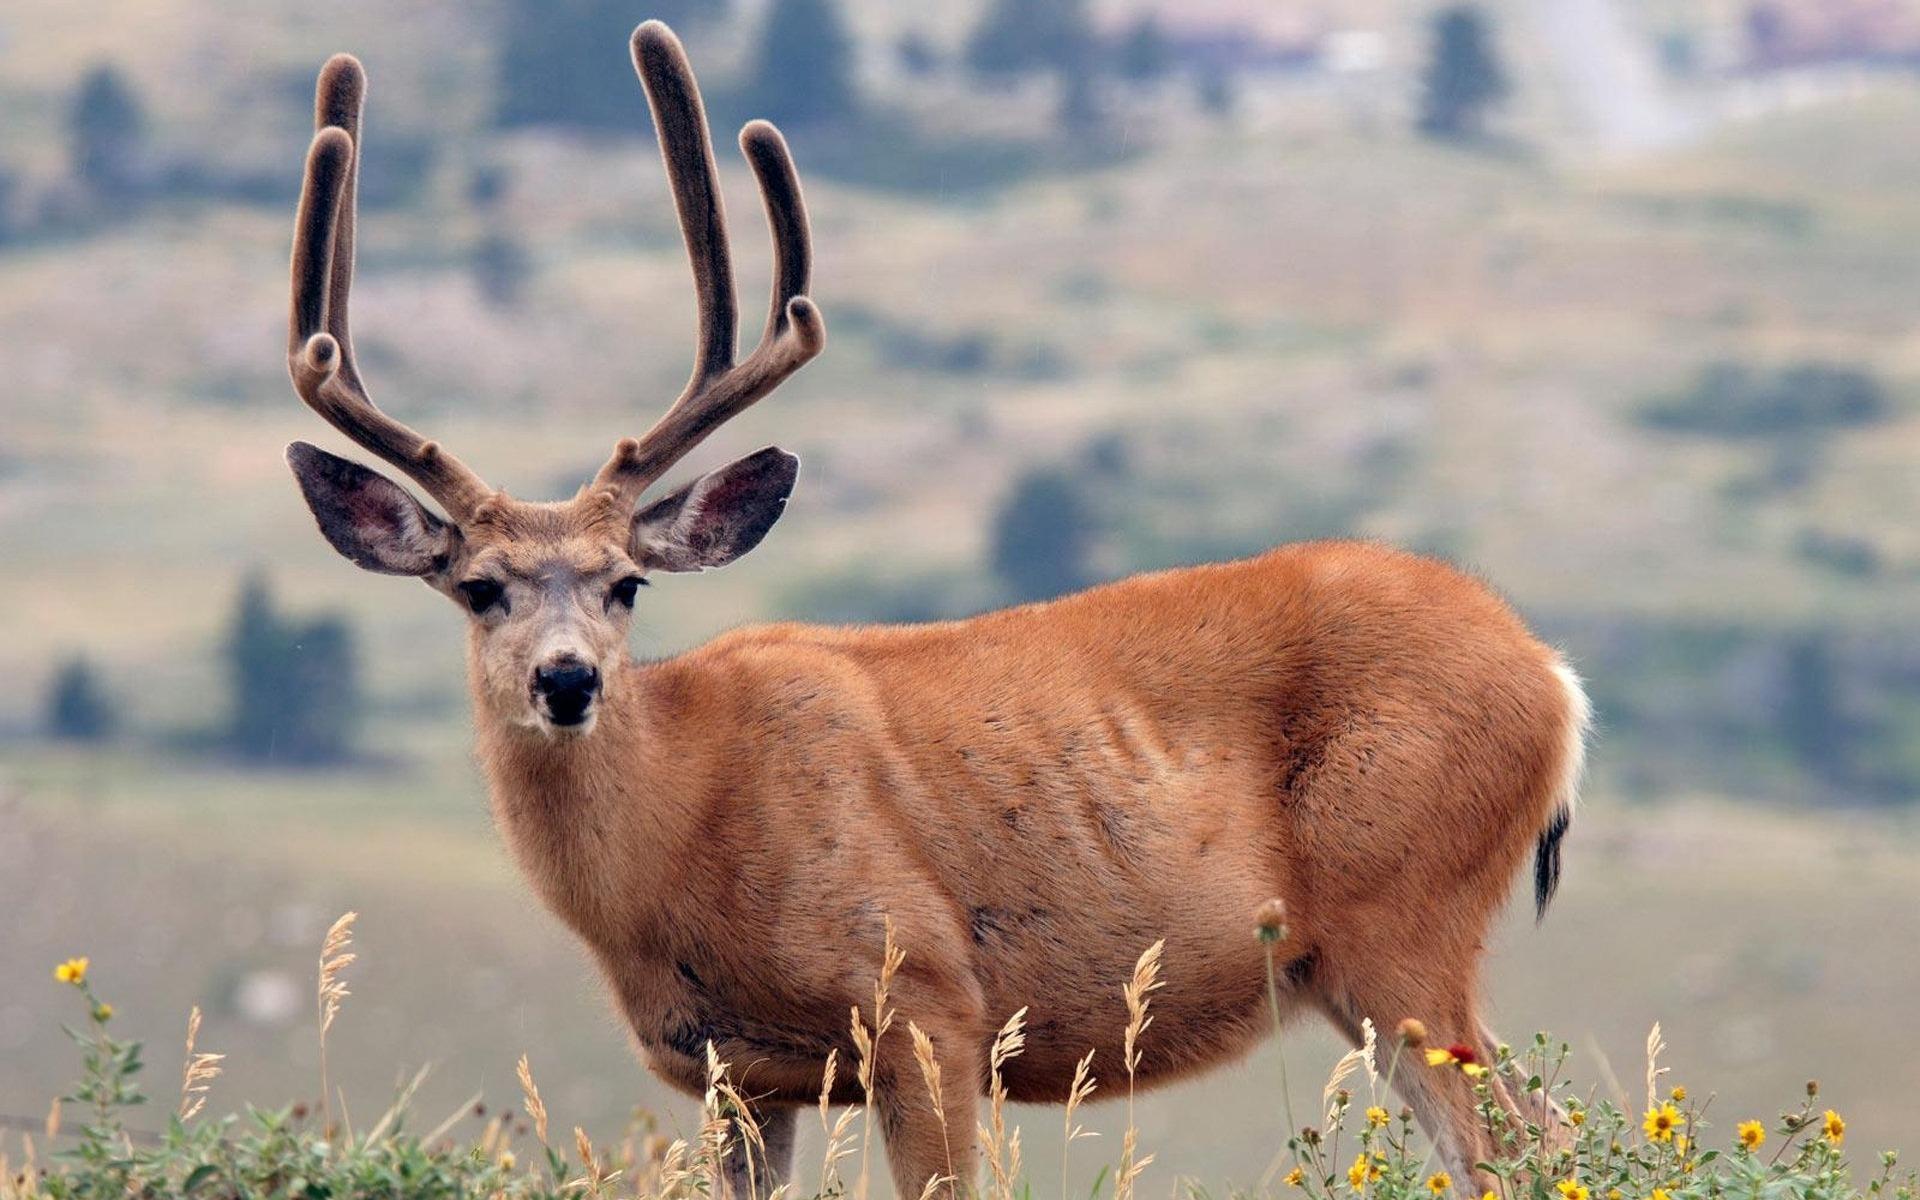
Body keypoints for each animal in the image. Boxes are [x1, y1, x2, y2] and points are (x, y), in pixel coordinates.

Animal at [280, 18, 1589, 1198]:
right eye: (479, 588)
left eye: (626, 582)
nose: (566, 679)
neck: (684, 828)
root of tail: (1552, 677)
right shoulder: (737, 1074)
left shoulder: (924, 1000)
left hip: (1403, 910)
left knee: (1523, 1146)